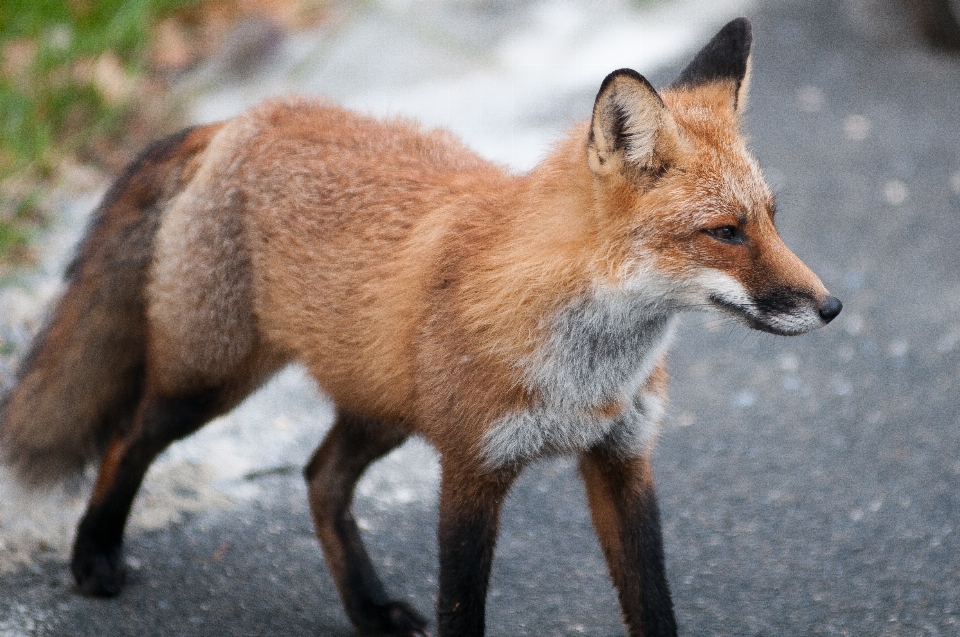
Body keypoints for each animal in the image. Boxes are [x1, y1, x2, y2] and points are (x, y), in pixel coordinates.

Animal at [0, 18, 840, 636]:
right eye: (725, 232)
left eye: (771, 218)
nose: (831, 306)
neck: (586, 370)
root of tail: (244, 115)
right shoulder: (471, 468)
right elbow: (462, 608)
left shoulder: (623, 460)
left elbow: (653, 604)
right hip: (210, 382)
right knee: (126, 439)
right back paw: (94, 556)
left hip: (382, 406)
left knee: (319, 478)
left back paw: (368, 608)